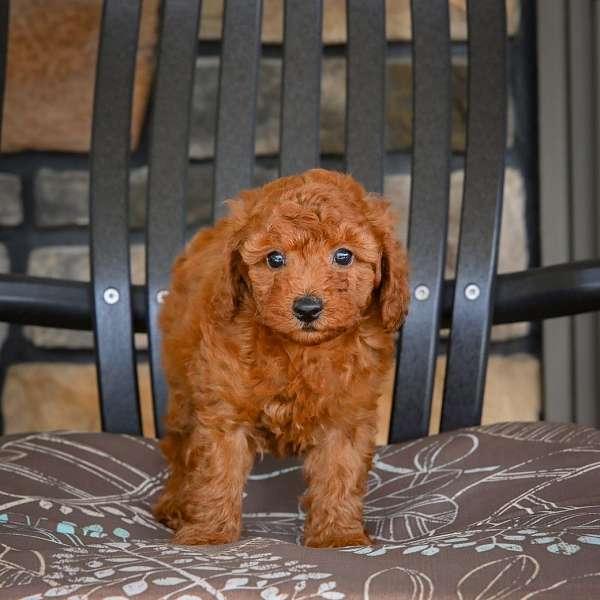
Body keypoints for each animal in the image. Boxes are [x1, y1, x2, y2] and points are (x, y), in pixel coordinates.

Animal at [152, 169, 410, 548]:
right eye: (275, 259)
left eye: (343, 256)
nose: (307, 308)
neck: (299, 351)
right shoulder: (223, 409)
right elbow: (216, 472)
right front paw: (209, 533)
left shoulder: (346, 416)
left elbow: (340, 473)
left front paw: (338, 535)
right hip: (183, 390)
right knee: (180, 450)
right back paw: (173, 505)